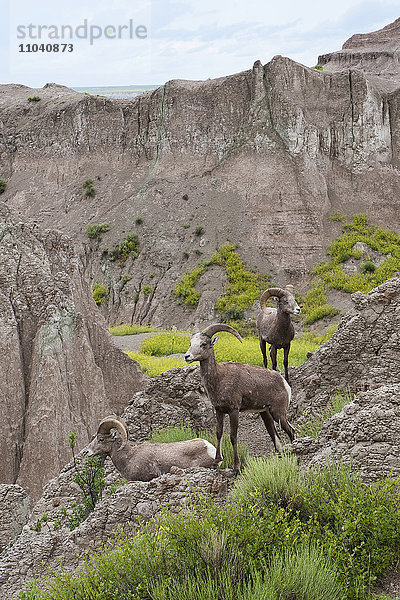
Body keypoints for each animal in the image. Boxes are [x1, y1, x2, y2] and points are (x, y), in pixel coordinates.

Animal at [184, 326, 294, 476]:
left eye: (203, 344)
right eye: (191, 343)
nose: (187, 356)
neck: (219, 379)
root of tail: (284, 383)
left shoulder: (233, 411)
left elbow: (233, 437)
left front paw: (236, 469)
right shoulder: (219, 411)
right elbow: (219, 433)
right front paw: (215, 463)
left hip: (278, 414)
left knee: (291, 431)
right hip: (266, 414)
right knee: (275, 437)